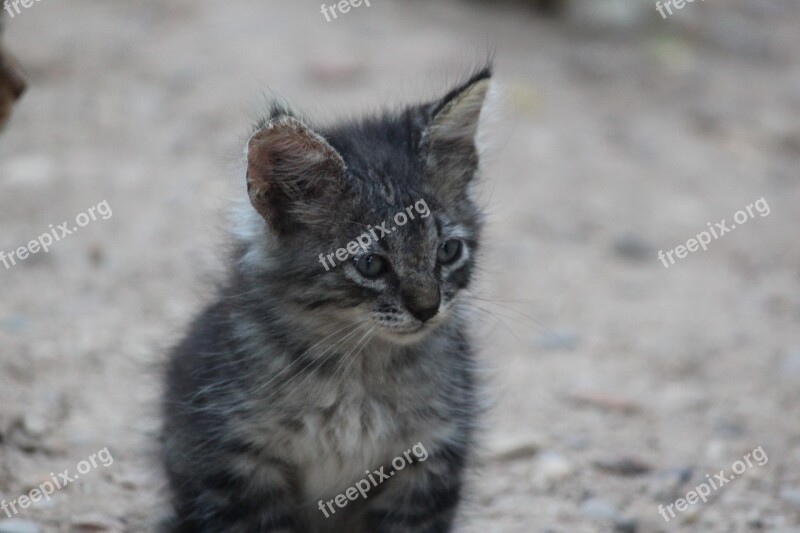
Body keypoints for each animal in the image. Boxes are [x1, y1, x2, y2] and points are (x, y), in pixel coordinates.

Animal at [159, 66, 490, 532]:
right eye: (370, 264)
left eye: (447, 251)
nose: (427, 308)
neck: (356, 370)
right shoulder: (235, 459)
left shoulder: (429, 459)